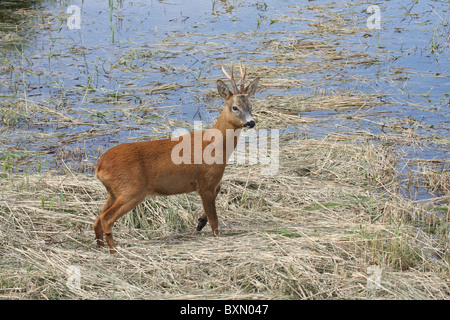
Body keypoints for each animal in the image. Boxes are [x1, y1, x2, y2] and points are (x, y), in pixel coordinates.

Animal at [93, 62, 258, 252]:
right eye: (235, 107)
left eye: (251, 106)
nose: (251, 122)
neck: (217, 146)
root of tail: (99, 166)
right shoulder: (206, 181)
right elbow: (215, 223)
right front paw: (211, 233)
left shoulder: (210, 182)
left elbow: (218, 194)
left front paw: (200, 222)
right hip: (131, 190)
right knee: (106, 219)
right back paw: (114, 251)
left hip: (114, 191)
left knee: (97, 219)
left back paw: (101, 248)